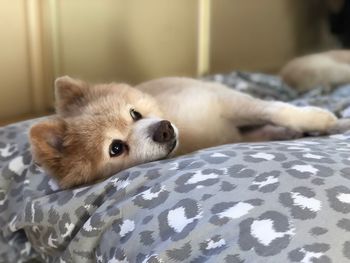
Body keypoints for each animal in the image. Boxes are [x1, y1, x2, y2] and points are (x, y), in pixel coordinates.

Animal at [28, 75, 340, 189]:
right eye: (116, 148)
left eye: (134, 114)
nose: (164, 129)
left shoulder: (226, 101)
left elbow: (275, 108)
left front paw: (319, 119)